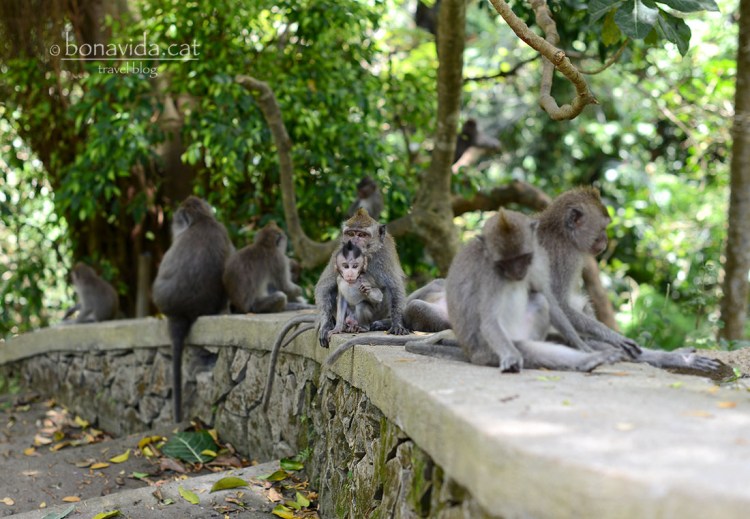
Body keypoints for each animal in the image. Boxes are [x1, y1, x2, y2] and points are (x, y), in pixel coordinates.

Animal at [315, 208, 408, 348]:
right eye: (351, 233)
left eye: (362, 235)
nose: (352, 242)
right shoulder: (339, 252)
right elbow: (324, 288)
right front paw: (326, 325)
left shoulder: (386, 254)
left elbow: (394, 287)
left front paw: (397, 323)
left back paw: (379, 324)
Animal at [535, 187, 721, 373]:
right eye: (603, 227)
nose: (606, 239)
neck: (562, 234)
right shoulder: (564, 257)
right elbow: (560, 305)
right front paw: (614, 337)